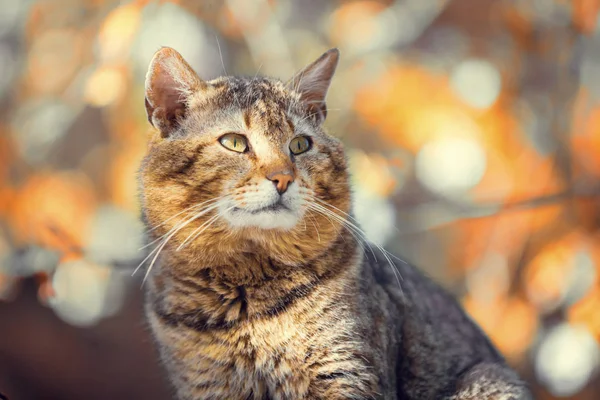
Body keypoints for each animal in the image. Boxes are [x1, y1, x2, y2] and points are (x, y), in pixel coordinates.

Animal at [138, 47, 532, 400]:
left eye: (300, 144)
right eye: (234, 142)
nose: (283, 178)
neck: (248, 293)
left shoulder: (346, 371)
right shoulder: (208, 385)